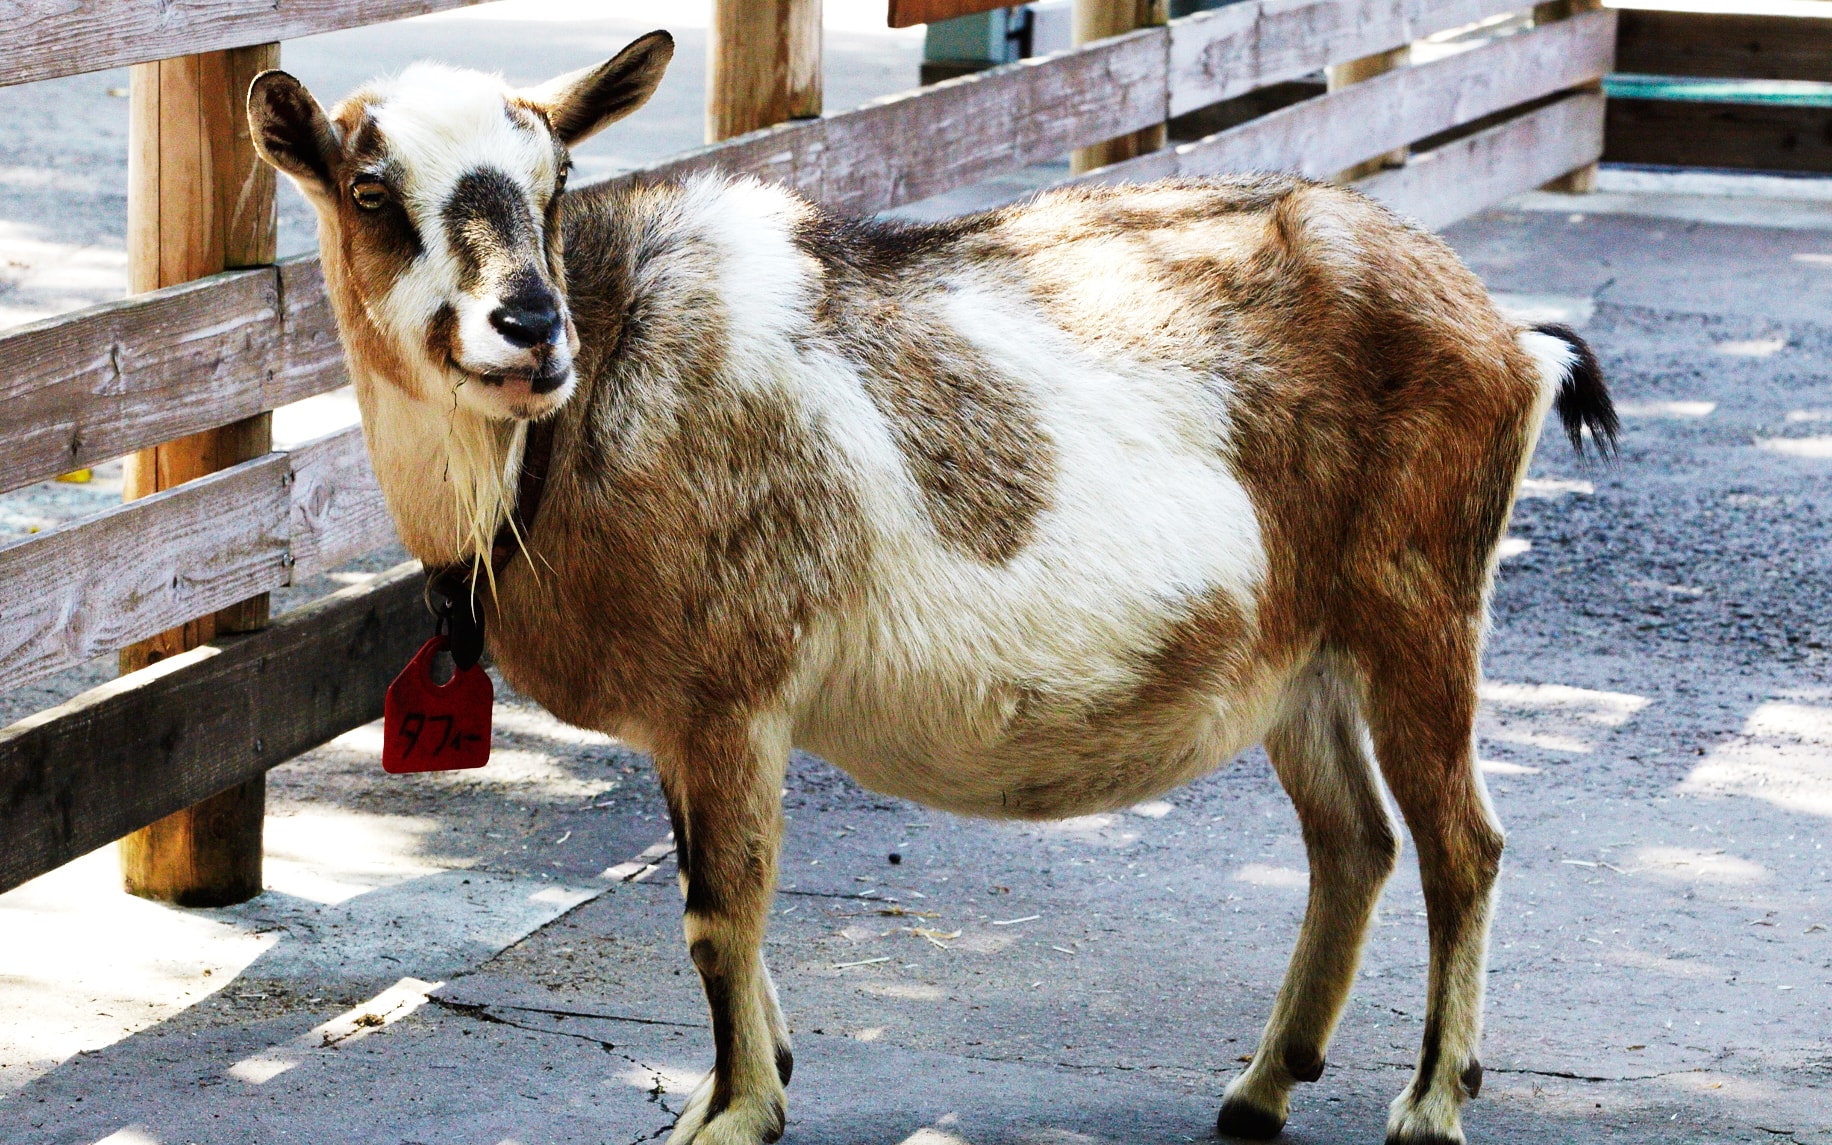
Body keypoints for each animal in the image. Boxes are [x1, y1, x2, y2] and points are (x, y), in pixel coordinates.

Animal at [247, 33, 1619, 1143]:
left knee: (1460, 844)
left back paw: (1429, 1099)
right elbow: (718, 893)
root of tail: (1510, 338)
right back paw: (1263, 1083)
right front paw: (753, 1072)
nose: (530, 327)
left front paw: (734, 1109)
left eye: (557, 182)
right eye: (370, 187)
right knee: (1354, 841)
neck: (569, 429)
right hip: (1303, 656)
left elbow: (717, 908)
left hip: (1421, 606)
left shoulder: (734, 694)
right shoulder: (692, 723)